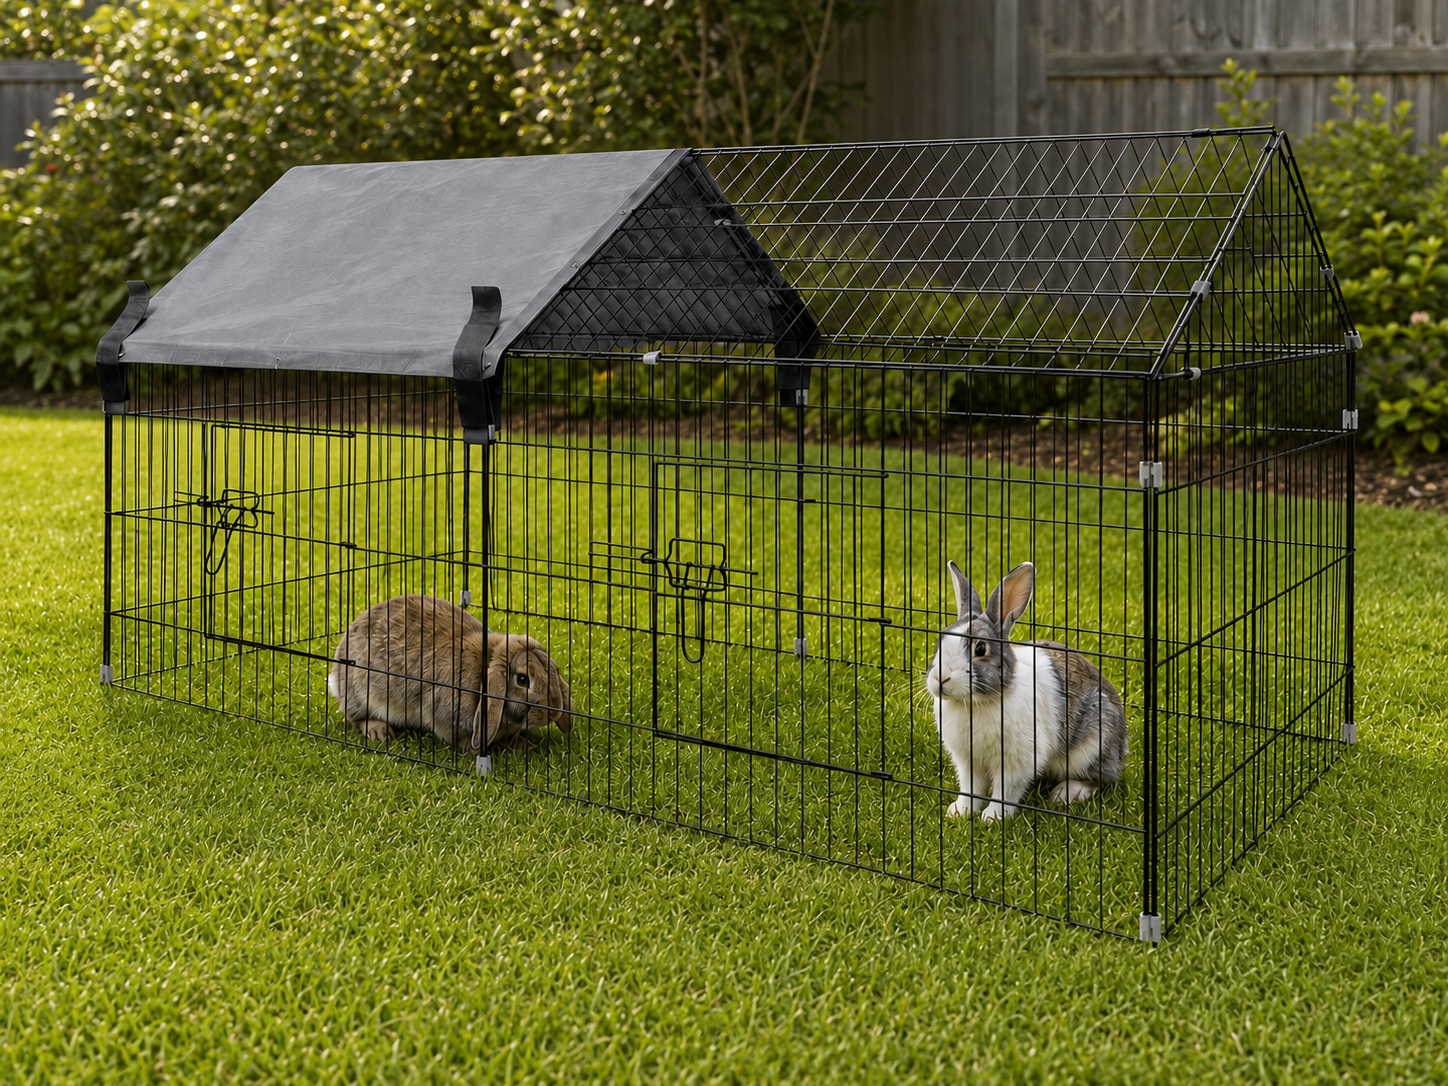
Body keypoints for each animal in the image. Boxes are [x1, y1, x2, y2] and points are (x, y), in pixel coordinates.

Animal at [327, 594, 572, 755]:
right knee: (356, 717)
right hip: (362, 695)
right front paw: (472, 749)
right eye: (522, 680)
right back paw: (379, 731)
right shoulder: (440, 711)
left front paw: (523, 745)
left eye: (554, 670)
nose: (553, 711)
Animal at [926, 560, 1127, 823]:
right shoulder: (967, 760)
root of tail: (1122, 745)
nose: (941, 678)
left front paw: (992, 817)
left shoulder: (1017, 760)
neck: (975, 703)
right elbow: (971, 787)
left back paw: (1067, 793)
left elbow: (1006, 789)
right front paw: (960, 811)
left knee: (1101, 778)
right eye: (940, 641)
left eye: (980, 648)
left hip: (1093, 745)